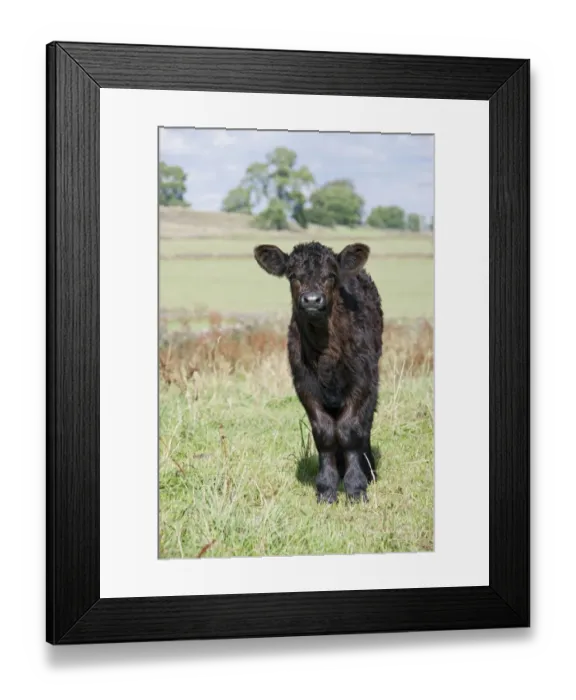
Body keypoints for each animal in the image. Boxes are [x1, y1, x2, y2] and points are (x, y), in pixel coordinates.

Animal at [253, 241, 383, 504]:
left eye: (331, 275)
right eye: (293, 275)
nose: (312, 300)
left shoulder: (361, 381)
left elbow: (349, 430)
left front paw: (356, 486)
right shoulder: (305, 385)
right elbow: (324, 433)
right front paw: (326, 486)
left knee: (365, 425)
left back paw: (367, 468)